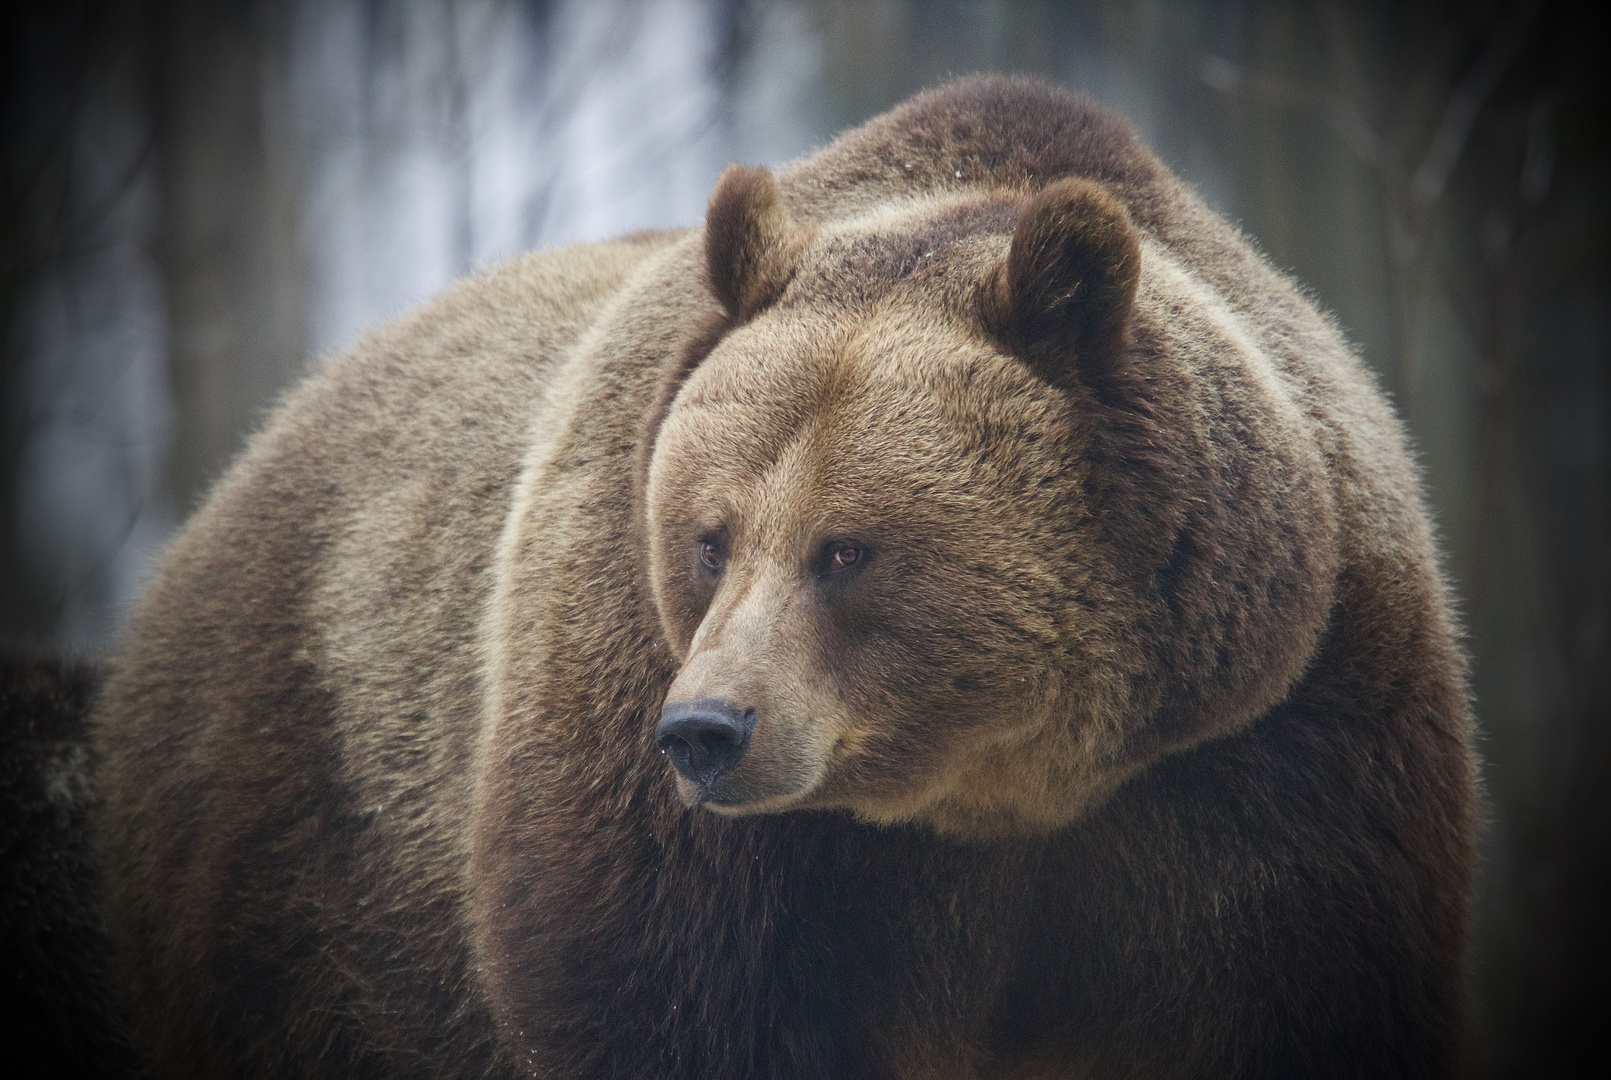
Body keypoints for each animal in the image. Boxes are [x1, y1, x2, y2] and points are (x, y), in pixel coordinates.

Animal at [88, 76, 1475, 1080]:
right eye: (710, 536)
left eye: (847, 548)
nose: (708, 730)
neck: (1004, 792)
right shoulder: (668, 784)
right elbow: (671, 999)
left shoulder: (1274, 747)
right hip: (317, 838)